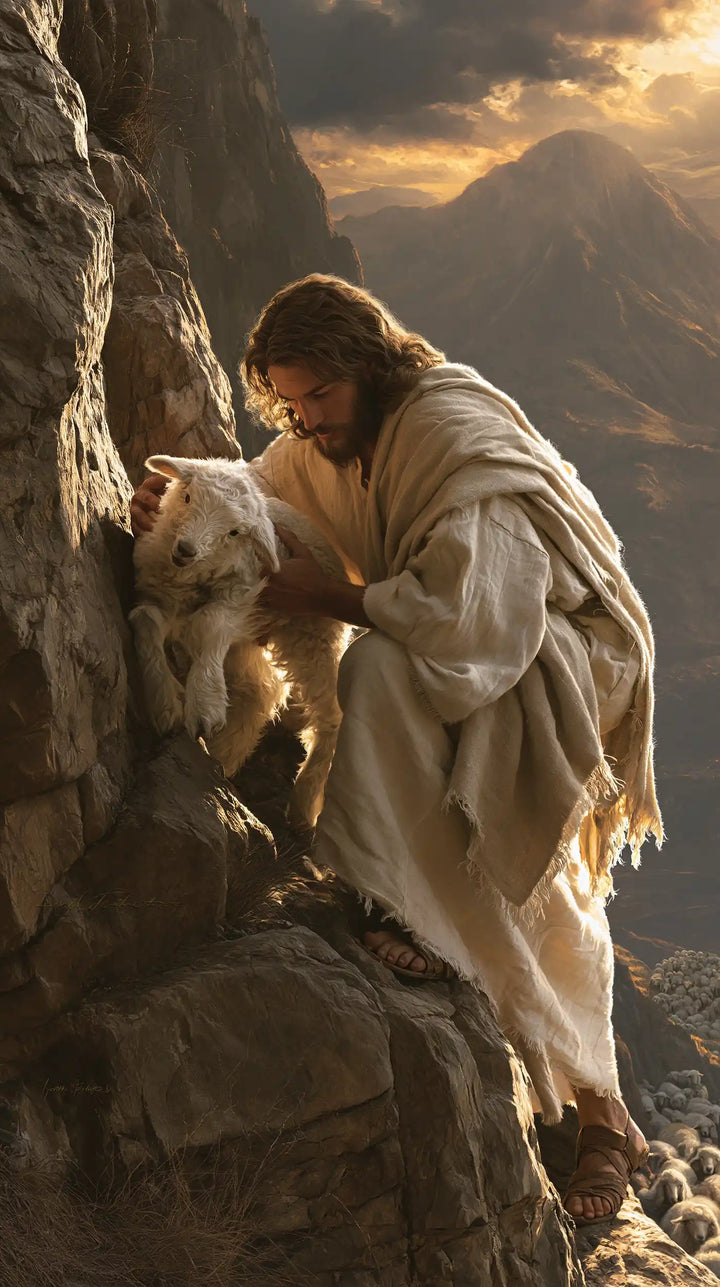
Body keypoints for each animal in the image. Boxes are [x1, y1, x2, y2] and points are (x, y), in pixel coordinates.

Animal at [131, 455, 351, 830]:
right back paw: (225, 755)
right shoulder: (161, 593)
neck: (191, 579)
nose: (186, 550)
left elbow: (207, 624)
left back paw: (305, 800)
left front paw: (204, 705)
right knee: (260, 691)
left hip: (313, 637)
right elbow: (147, 619)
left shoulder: (243, 597)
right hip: (250, 642)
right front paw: (166, 703)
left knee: (331, 715)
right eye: (187, 496)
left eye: (234, 532)